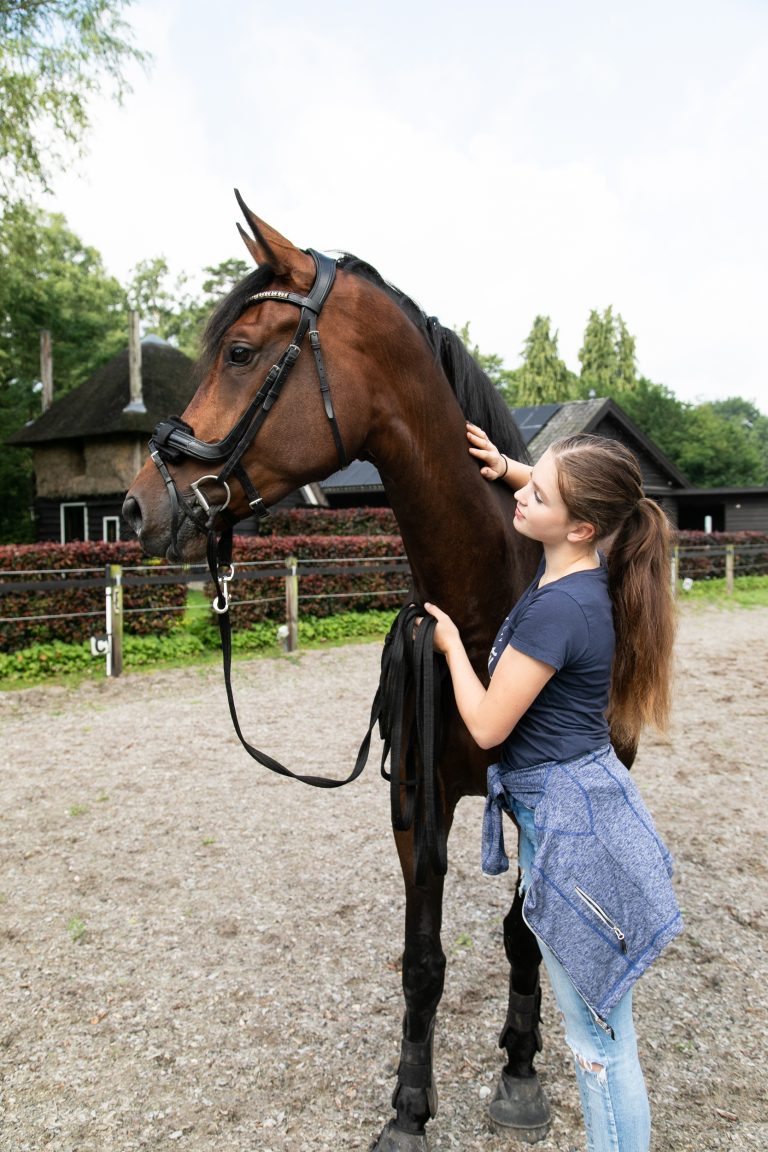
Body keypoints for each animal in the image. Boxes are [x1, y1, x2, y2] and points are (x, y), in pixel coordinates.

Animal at [123, 192, 573, 1150]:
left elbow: (523, 935)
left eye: (241, 352)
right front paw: (407, 1108)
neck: (487, 607)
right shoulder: (418, 802)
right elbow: (422, 962)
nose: (138, 505)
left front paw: (519, 1073)